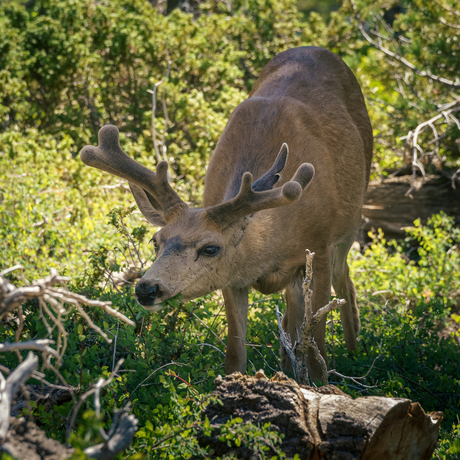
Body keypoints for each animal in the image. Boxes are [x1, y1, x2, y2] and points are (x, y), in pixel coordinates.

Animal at [80, 47, 374, 384]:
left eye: (210, 248)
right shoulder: (232, 277)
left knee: (346, 282)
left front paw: (320, 383)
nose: (146, 288)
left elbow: (317, 349)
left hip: (350, 224)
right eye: (156, 241)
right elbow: (235, 355)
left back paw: (354, 354)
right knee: (294, 314)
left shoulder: (320, 246)